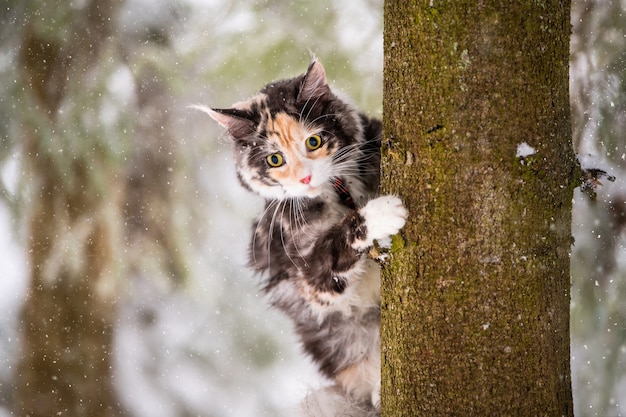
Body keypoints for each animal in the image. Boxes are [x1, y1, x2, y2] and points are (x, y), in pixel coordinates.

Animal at [196, 57, 410, 412]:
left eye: (314, 142)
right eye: (275, 159)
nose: (306, 178)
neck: (340, 193)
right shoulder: (308, 277)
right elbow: (336, 244)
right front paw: (382, 213)